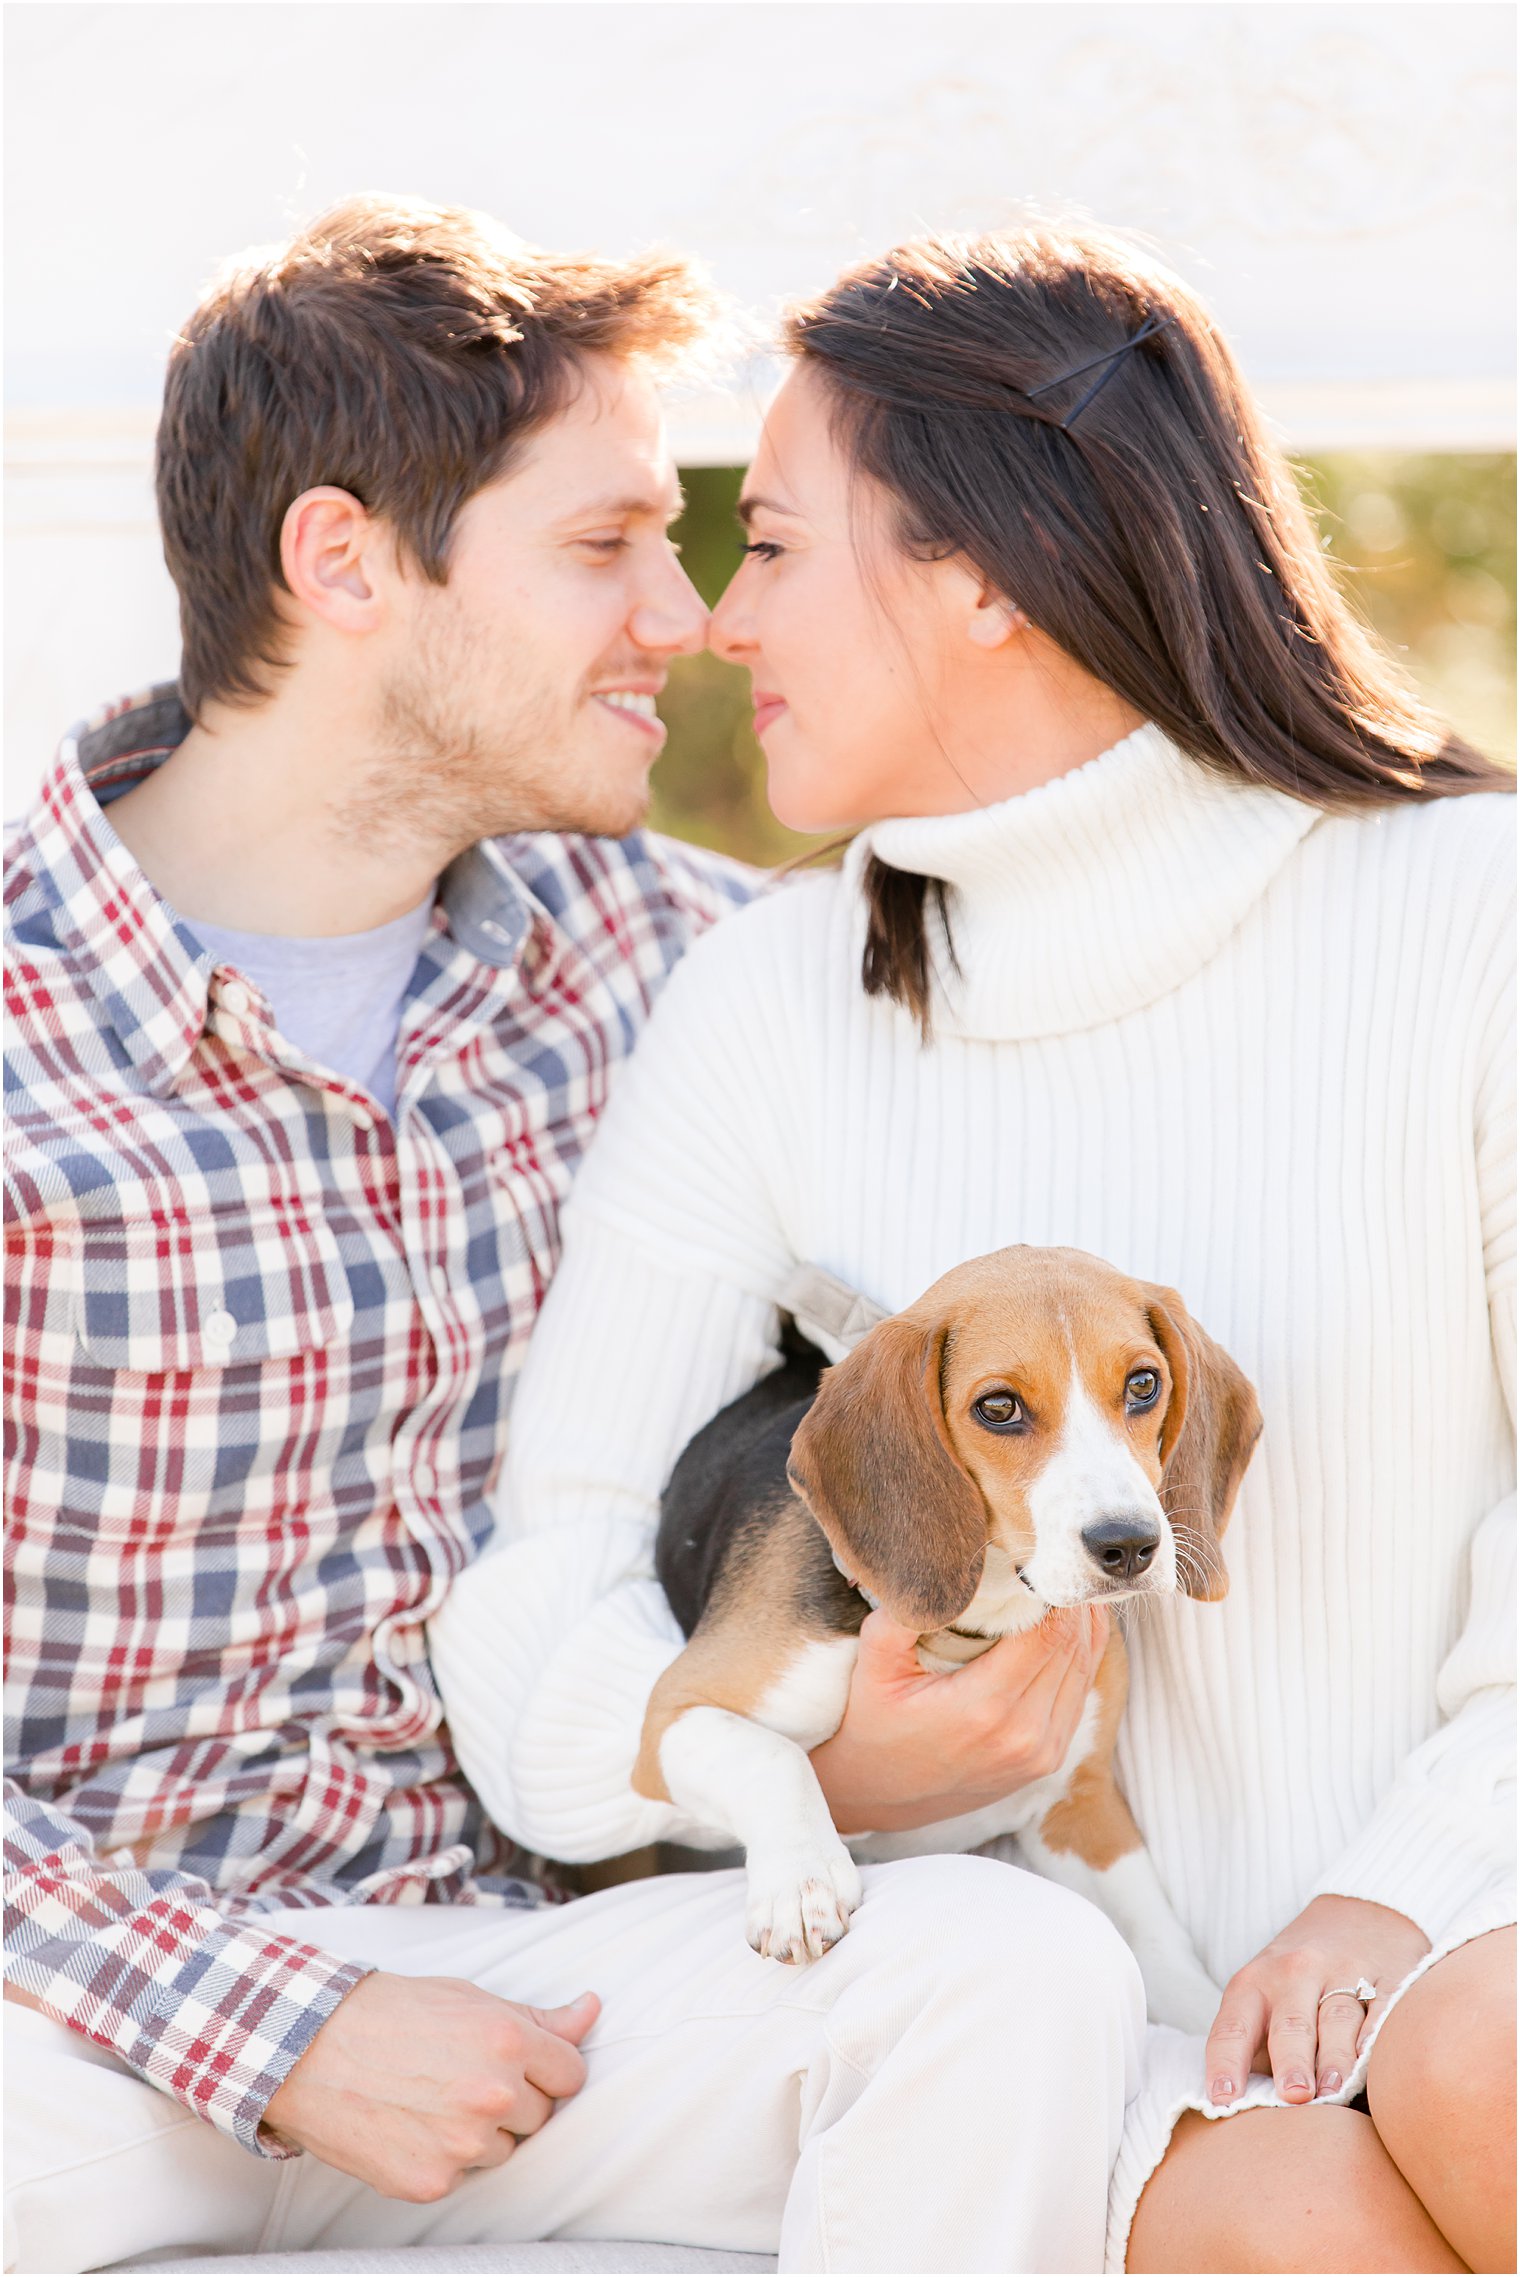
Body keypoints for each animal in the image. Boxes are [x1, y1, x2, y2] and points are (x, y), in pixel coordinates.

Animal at [628, 1247, 1256, 2031]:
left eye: (1144, 1385)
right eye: (999, 1407)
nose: (1130, 1545)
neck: (975, 1624)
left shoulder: (1079, 1805)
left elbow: (1158, 1938)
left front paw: (1219, 2024)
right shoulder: (670, 1717)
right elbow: (770, 1756)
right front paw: (801, 1884)